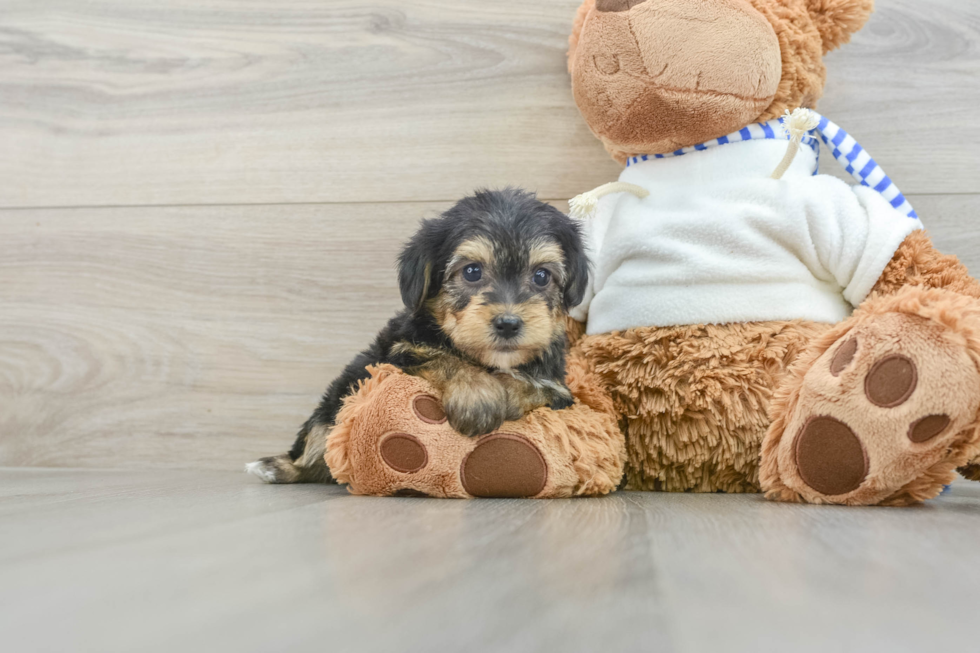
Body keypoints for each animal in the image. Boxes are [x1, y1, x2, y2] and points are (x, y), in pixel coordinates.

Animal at [249, 188, 592, 484]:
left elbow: (540, 387)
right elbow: (444, 358)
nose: (508, 323)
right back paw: (276, 467)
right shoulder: (401, 350)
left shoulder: (559, 388)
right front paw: (477, 394)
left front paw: (507, 389)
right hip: (336, 400)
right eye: (472, 271)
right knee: (316, 447)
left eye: (541, 276)